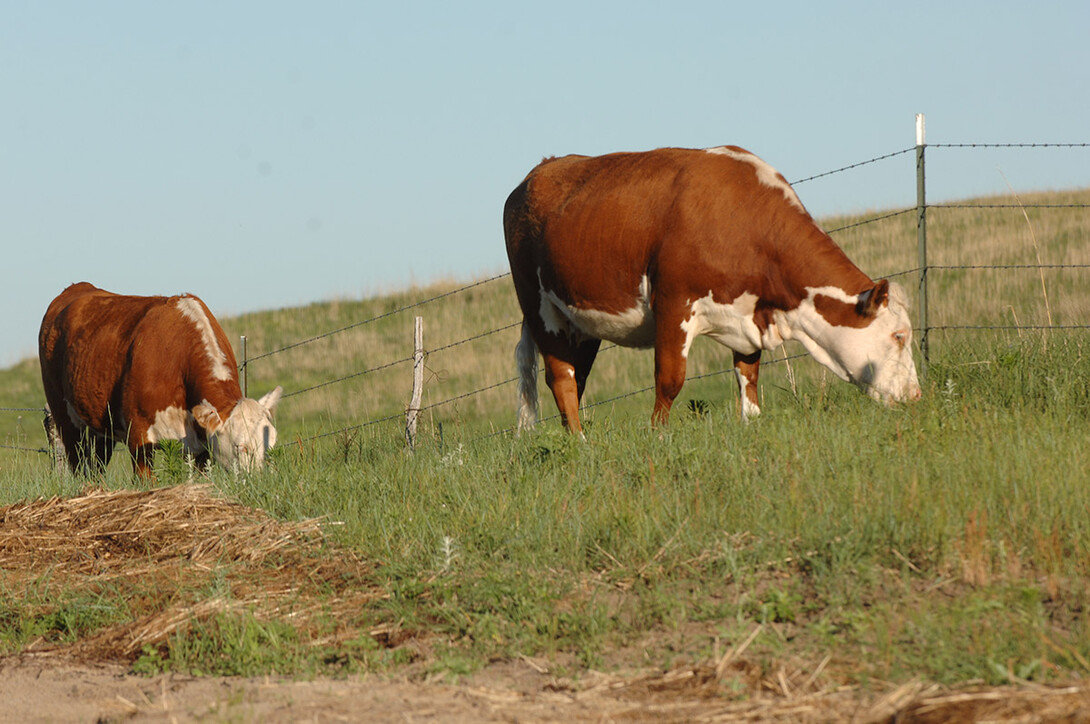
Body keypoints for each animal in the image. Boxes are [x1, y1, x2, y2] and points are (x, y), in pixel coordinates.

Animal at [40, 281, 283, 475]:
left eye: (270, 444)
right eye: (240, 447)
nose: (260, 481)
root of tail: (78, 287)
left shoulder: (202, 447)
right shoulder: (139, 438)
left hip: (100, 426)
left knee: (96, 466)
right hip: (65, 419)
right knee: (78, 463)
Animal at [501, 143, 919, 431]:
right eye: (899, 336)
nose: (916, 395)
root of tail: (540, 170)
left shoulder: (748, 316)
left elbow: (748, 375)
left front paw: (752, 423)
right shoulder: (674, 302)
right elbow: (669, 380)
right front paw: (658, 435)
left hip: (581, 322)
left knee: (576, 378)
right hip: (539, 306)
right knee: (560, 378)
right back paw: (579, 443)